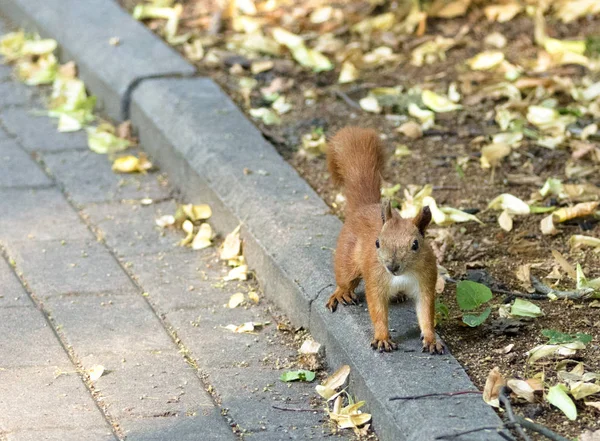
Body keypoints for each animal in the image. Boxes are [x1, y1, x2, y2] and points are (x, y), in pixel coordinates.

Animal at [324, 127, 446, 354]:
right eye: (377, 243)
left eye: (415, 245)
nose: (392, 267)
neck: (402, 275)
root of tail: (364, 207)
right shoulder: (376, 280)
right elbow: (377, 310)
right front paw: (382, 338)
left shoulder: (425, 281)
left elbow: (426, 312)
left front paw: (431, 339)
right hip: (347, 257)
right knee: (344, 277)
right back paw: (342, 293)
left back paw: (398, 295)